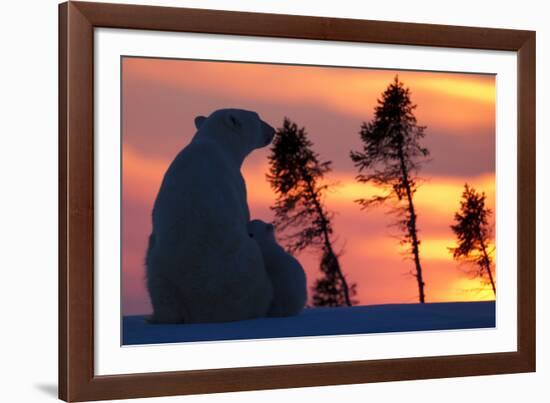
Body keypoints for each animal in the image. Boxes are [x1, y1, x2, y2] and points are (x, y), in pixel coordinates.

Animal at [146, 108, 276, 326]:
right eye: (257, 117)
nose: (273, 130)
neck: (213, 142)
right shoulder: (237, 183)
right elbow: (245, 213)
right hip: (242, 269)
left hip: (159, 273)